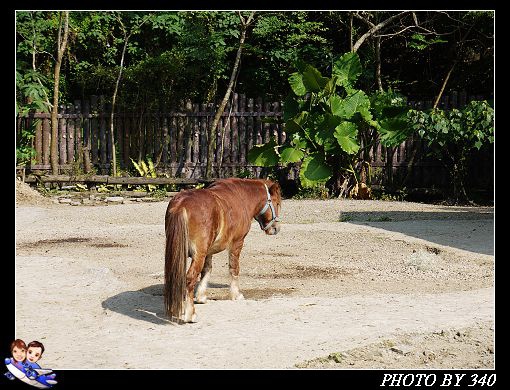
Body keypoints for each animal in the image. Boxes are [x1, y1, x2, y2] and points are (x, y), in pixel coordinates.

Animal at [164, 178, 280, 322]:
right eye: (276, 203)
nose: (275, 228)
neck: (241, 197)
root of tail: (181, 205)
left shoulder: (208, 251)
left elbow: (207, 270)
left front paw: (201, 296)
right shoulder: (237, 243)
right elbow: (234, 268)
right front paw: (236, 294)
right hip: (198, 255)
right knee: (189, 279)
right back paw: (190, 314)